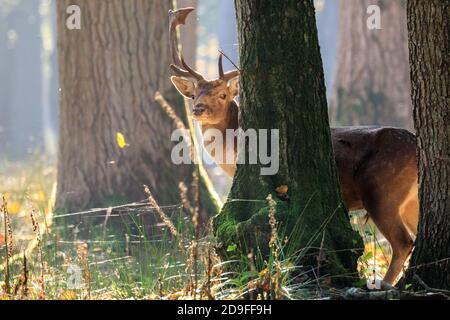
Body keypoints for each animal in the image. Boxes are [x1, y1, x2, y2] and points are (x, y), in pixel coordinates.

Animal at [168, 8, 418, 288]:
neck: (232, 157)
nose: (198, 109)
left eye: (223, 95)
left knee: (403, 242)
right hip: (411, 200)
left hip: (381, 190)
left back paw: (383, 284)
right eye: (194, 94)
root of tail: (415, 146)